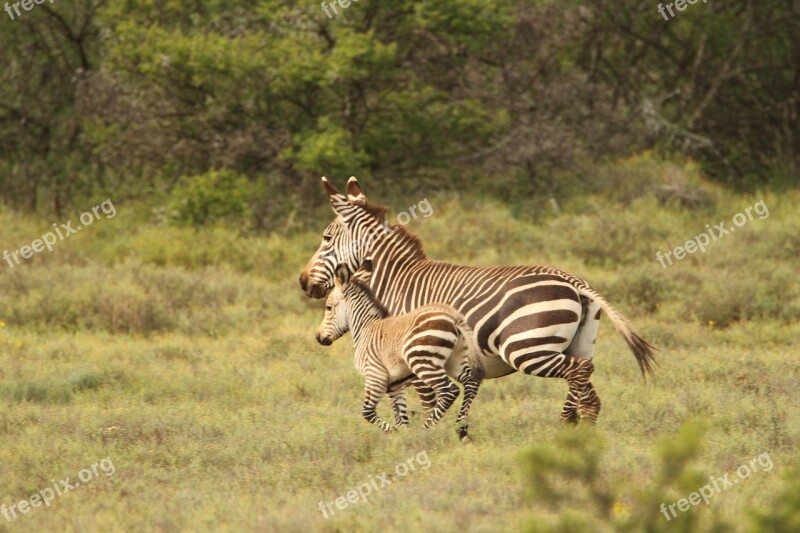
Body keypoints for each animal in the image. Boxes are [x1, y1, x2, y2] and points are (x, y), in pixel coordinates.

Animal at [316, 258, 484, 440]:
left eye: (328, 307)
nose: (318, 338)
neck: (366, 328)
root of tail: (453, 316)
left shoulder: (375, 375)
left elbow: (367, 412)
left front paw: (395, 434)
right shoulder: (395, 384)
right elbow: (401, 416)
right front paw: (403, 438)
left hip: (422, 361)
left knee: (450, 391)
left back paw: (425, 431)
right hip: (455, 359)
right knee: (470, 382)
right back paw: (461, 430)